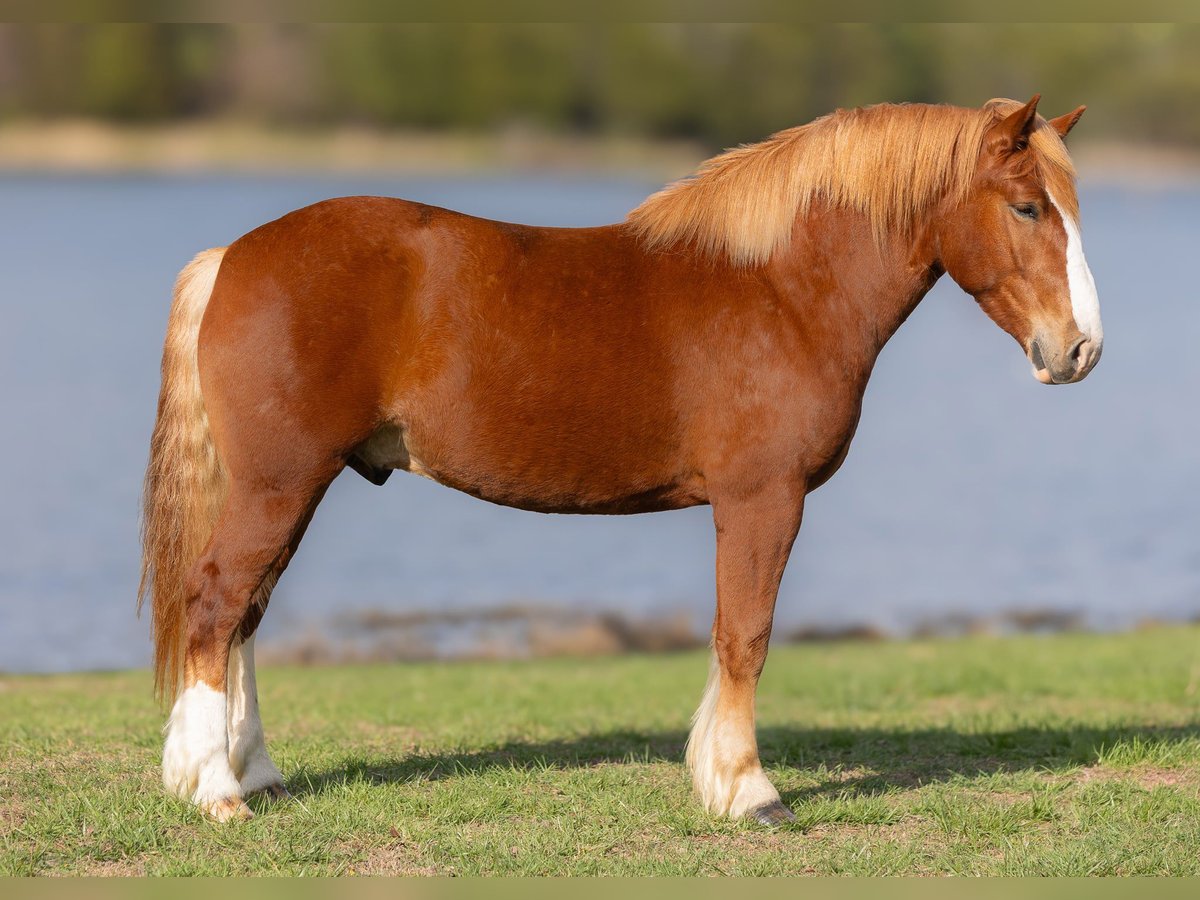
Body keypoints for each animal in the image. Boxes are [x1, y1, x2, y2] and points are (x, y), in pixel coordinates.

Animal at [139, 95, 1101, 825]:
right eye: (1027, 206)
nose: (1080, 350)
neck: (782, 288)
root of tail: (232, 257)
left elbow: (733, 635)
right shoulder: (764, 498)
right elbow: (744, 635)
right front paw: (748, 791)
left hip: (288, 487)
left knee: (245, 614)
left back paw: (255, 774)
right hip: (279, 483)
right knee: (217, 604)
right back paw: (217, 790)